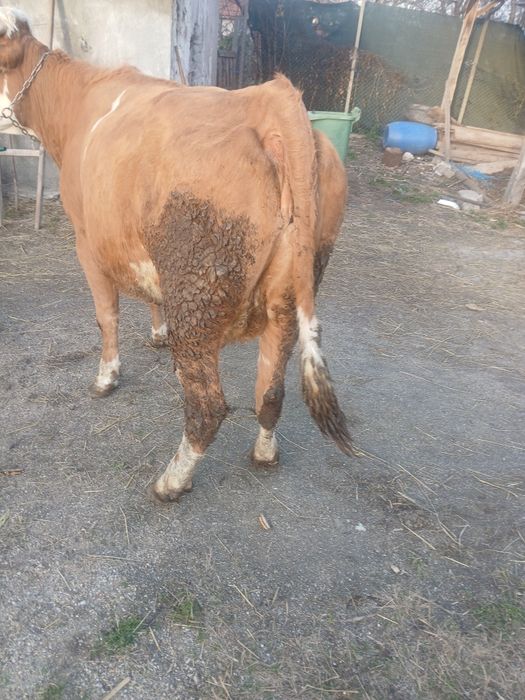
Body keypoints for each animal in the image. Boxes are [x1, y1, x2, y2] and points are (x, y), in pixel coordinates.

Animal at [0, 7, 355, 502]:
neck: (77, 107)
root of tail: (270, 98)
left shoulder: (86, 241)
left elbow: (106, 316)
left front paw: (106, 377)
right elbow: (152, 296)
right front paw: (157, 332)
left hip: (197, 289)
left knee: (208, 406)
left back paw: (172, 480)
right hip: (290, 295)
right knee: (270, 390)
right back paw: (264, 453)